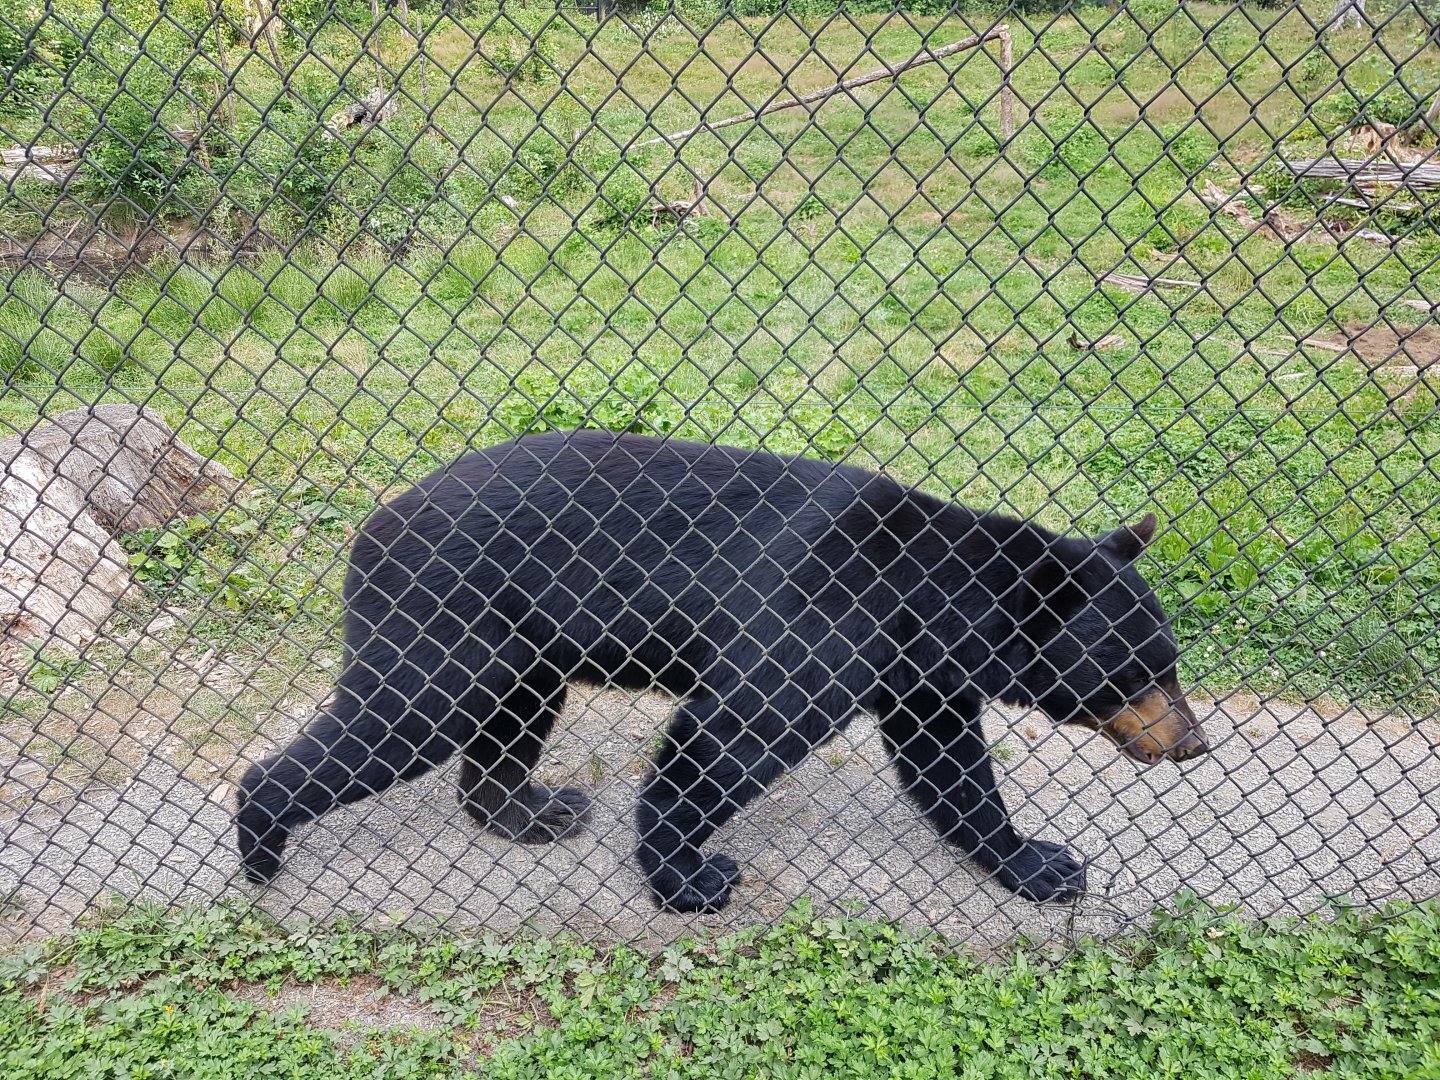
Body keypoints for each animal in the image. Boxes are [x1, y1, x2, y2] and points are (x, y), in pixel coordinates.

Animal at [235, 429, 1207, 913]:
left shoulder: (917, 671)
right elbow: (734, 734)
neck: (921, 603)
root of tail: (374, 523)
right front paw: (691, 876)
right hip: (449, 615)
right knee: (402, 718)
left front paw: (1041, 864)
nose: (1193, 742)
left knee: (510, 719)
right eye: (1144, 672)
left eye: (1171, 665)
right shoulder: (821, 619)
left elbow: (951, 767)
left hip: (526, 638)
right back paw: (261, 841)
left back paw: (534, 809)